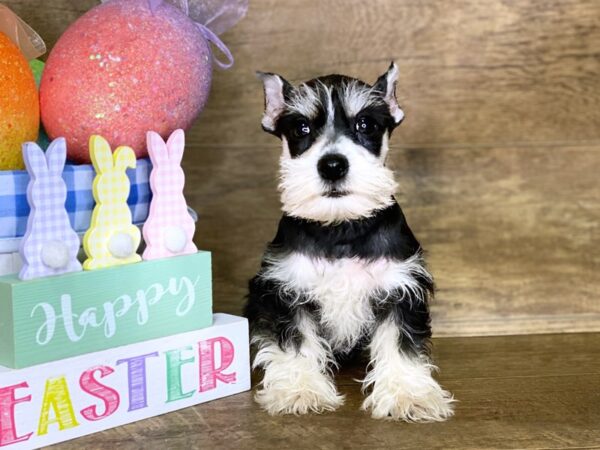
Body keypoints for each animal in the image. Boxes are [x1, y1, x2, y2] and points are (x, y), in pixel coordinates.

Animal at [244, 63, 454, 422]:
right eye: (301, 128)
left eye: (365, 124)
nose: (332, 165)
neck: (341, 228)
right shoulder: (287, 290)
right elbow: (295, 340)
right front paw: (299, 390)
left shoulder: (398, 288)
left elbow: (400, 343)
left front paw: (408, 394)